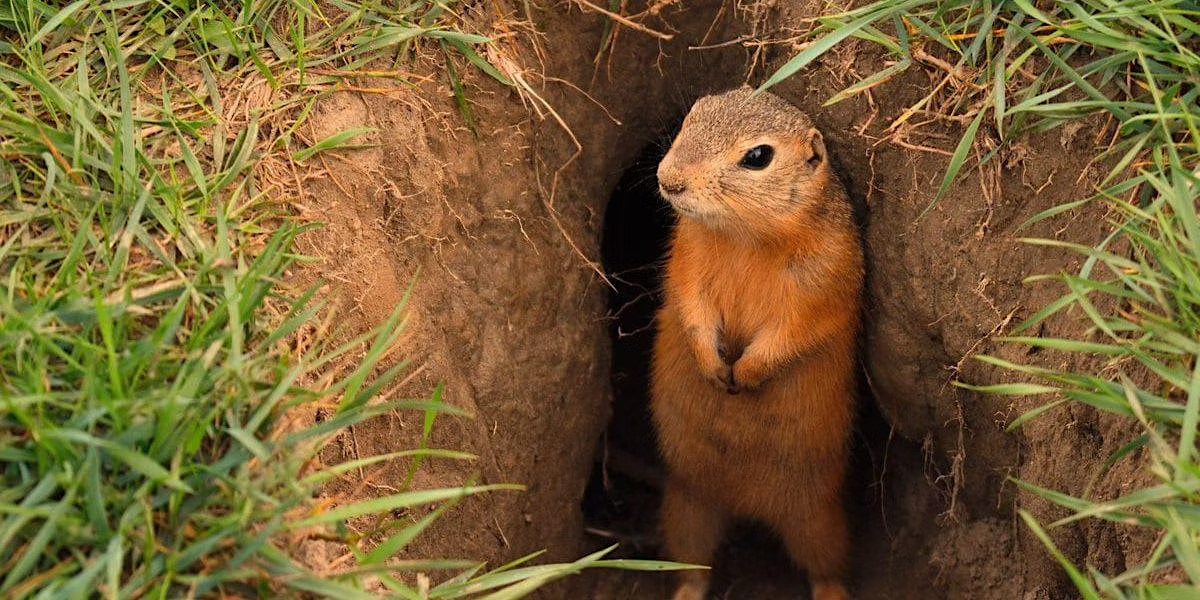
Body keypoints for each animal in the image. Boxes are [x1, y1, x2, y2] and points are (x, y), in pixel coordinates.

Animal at [648, 85, 864, 600]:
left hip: (817, 522)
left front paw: (744, 373)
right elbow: (691, 308)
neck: (745, 237)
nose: (669, 180)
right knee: (692, 565)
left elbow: (791, 333)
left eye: (759, 156)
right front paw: (713, 366)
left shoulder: (824, 282)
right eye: (693, 114)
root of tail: (744, 507)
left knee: (826, 568)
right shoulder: (687, 259)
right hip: (687, 508)